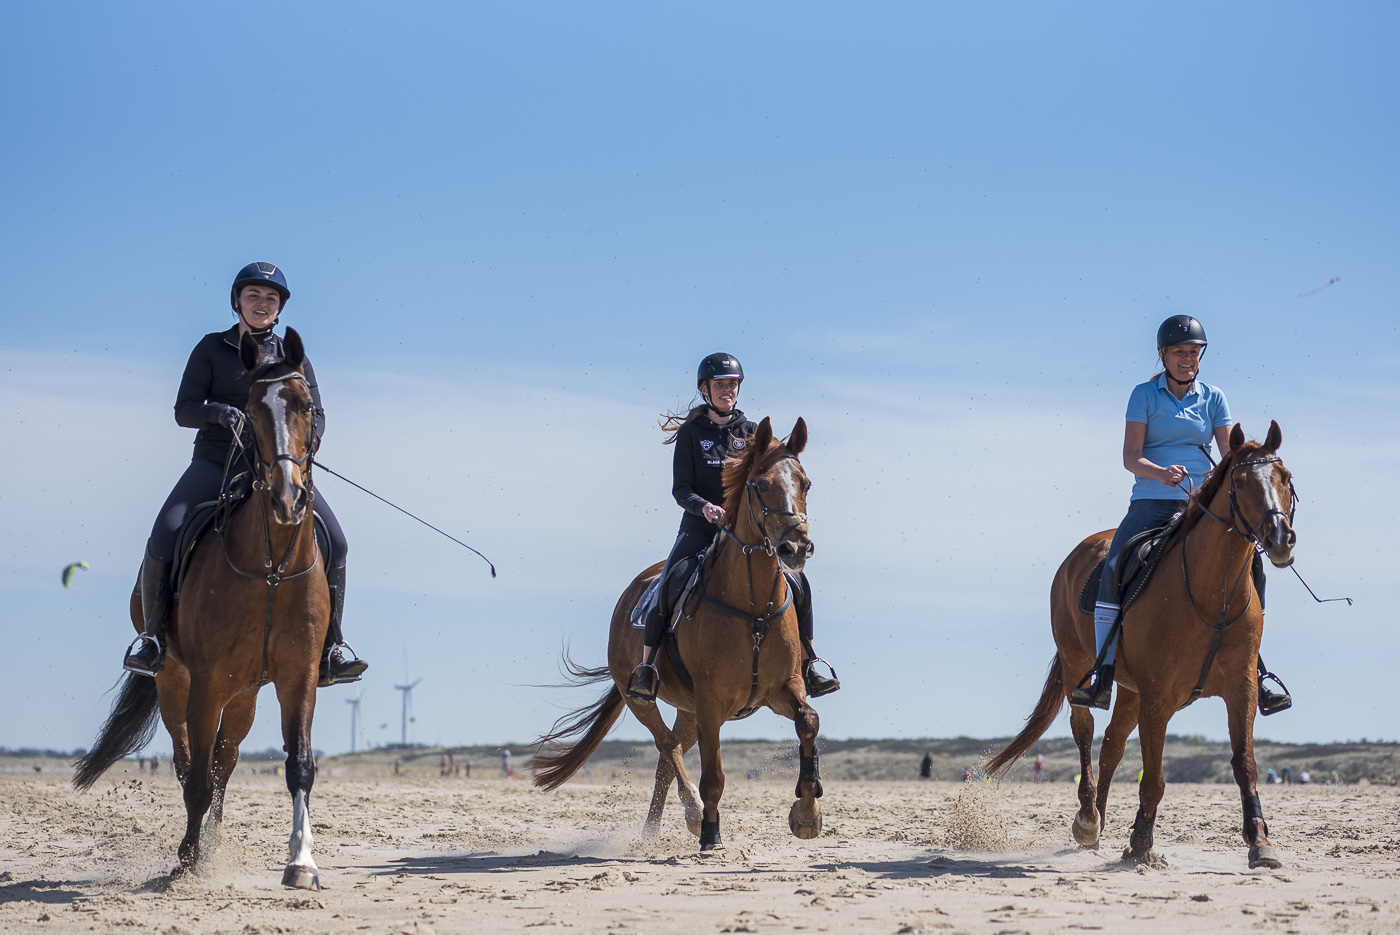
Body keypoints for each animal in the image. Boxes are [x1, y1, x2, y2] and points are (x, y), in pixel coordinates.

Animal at [79, 330, 333, 890]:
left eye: (306, 406)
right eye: (251, 410)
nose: (287, 498)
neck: (271, 569)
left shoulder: (298, 676)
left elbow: (299, 766)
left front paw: (302, 863)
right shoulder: (206, 681)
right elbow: (195, 776)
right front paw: (188, 860)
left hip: (245, 694)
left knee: (224, 760)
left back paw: (213, 839)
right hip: (175, 681)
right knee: (187, 761)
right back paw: (195, 847)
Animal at [532, 419, 817, 851]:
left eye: (805, 484)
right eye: (761, 484)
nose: (796, 547)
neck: (752, 607)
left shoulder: (784, 687)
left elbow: (808, 723)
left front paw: (807, 812)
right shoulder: (712, 704)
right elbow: (713, 776)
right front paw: (711, 833)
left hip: (688, 708)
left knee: (668, 759)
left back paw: (653, 832)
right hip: (643, 697)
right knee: (667, 747)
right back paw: (692, 814)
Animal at [991, 422, 1293, 867]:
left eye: (1284, 478)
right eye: (1239, 482)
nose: (1280, 538)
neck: (1210, 595)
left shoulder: (1241, 689)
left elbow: (1245, 765)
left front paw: (1260, 842)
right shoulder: (1157, 696)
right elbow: (1154, 776)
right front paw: (1141, 844)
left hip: (1129, 689)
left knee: (1111, 746)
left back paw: (1097, 824)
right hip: (1079, 667)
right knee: (1085, 731)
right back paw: (1087, 820)